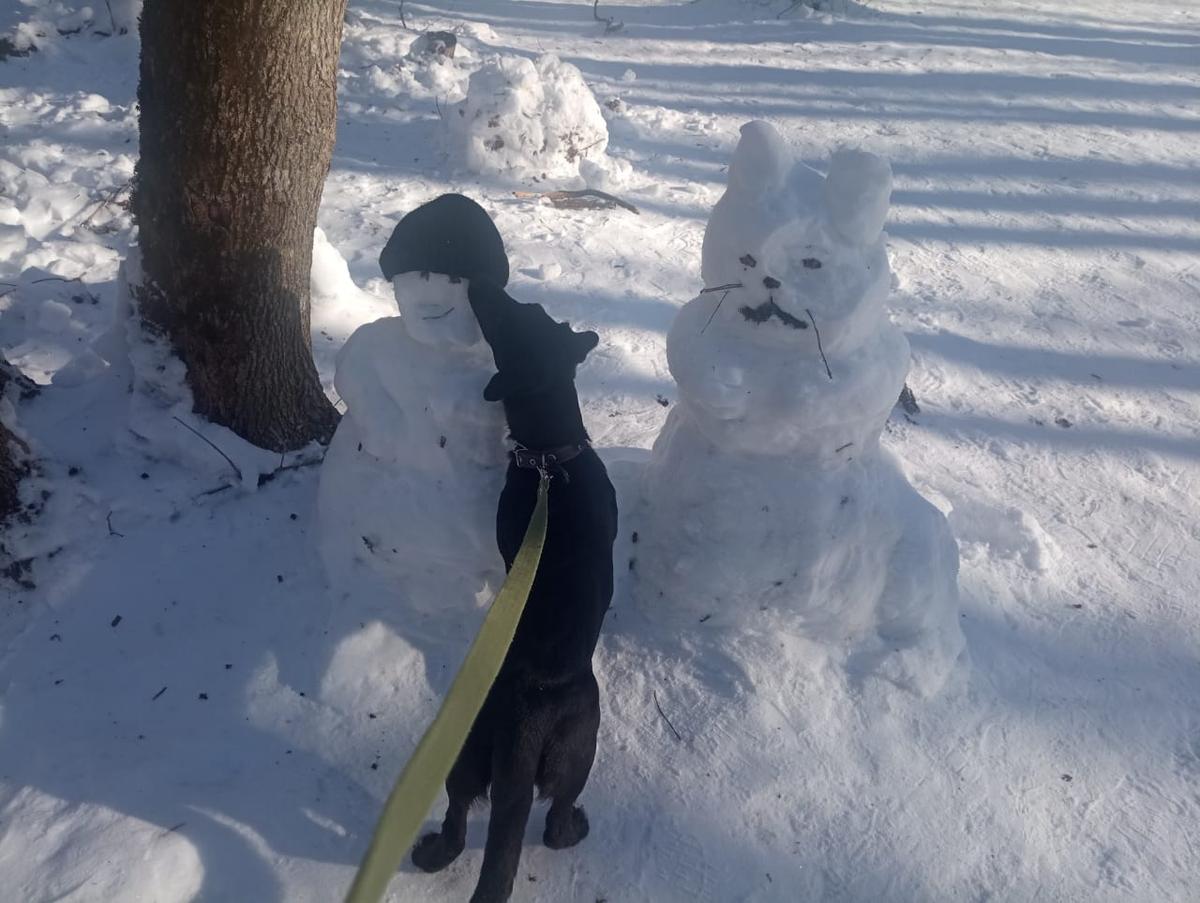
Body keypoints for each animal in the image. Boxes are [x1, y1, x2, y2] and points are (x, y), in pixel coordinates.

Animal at [412, 278, 619, 898]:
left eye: (522, 313)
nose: (484, 285)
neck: (552, 451)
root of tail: (524, 720)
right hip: (580, 749)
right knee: (554, 821)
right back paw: (574, 828)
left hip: (464, 754)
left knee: (458, 820)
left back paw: (431, 851)